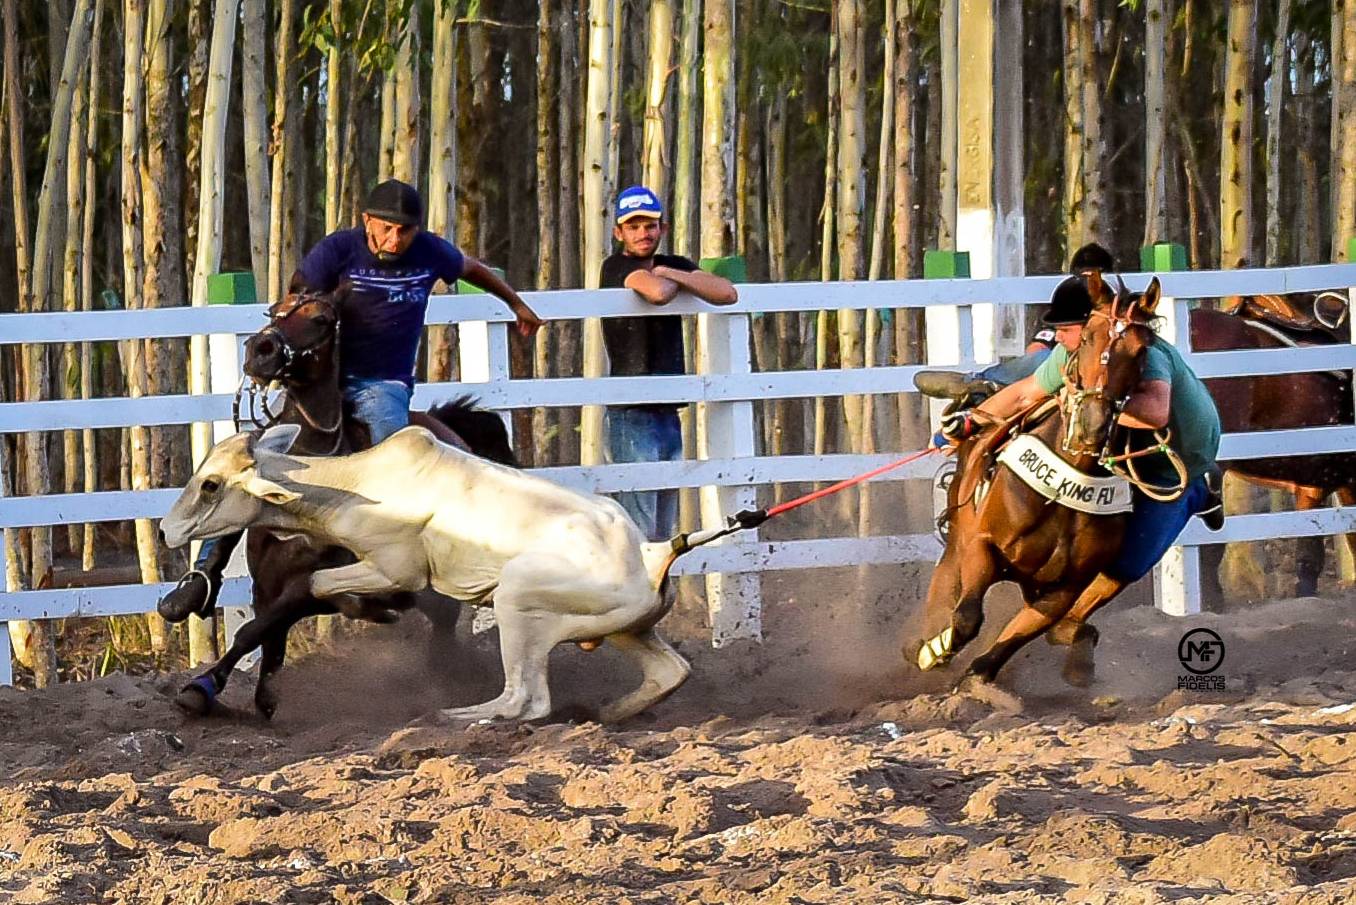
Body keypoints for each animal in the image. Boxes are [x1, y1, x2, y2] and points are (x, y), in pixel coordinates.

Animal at [161, 420, 688, 727]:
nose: (167, 529)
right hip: (625, 629)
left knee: (525, 699)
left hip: (517, 603)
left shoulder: (396, 572)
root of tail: (652, 554)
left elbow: (312, 587)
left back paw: (460, 717)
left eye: (210, 485)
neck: (357, 486)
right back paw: (611, 712)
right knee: (671, 672)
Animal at [177, 284, 515, 721]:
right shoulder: (266, 584)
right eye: (275, 309)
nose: (260, 351)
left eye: (321, 320)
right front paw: (233, 692)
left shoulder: (305, 585)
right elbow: (266, 637)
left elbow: (256, 631)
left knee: (442, 628)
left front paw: (211, 687)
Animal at [905, 272, 1160, 689]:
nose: (1092, 425)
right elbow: (967, 617)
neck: (1064, 489)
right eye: (1088, 338)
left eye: (1141, 351)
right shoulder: (981, 544)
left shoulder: (1065, 588)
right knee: (944, 583)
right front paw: (933, 649)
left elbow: (1001, 649)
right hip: (959, 535)